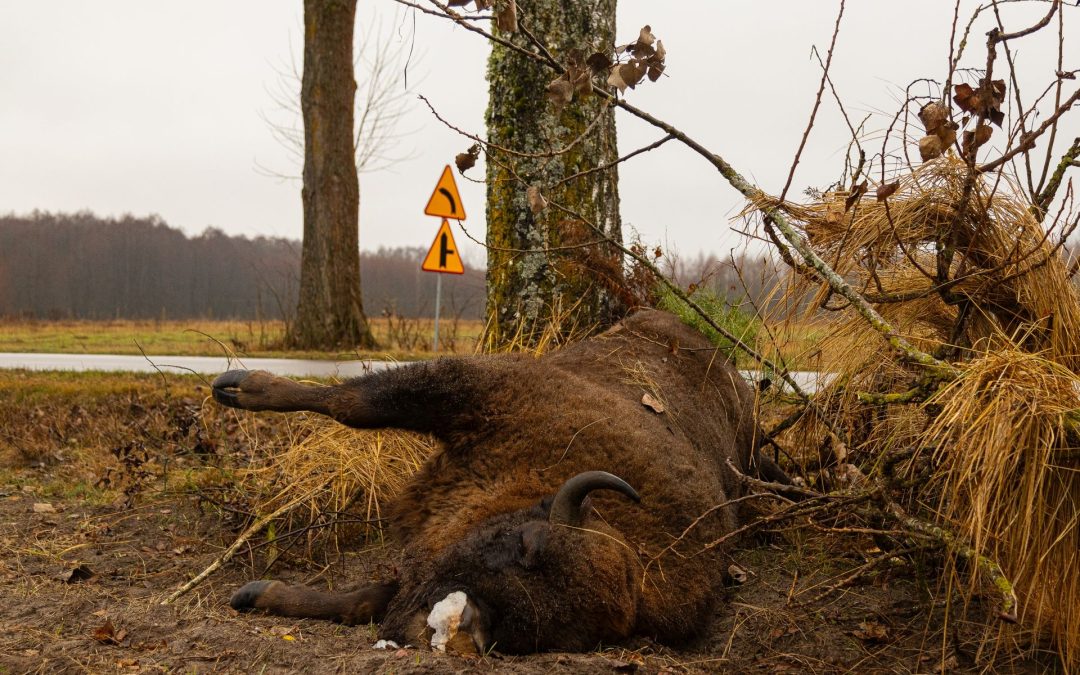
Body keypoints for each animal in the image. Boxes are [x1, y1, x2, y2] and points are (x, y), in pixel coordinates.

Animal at [212, 308, 786, 652]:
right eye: (529, 543)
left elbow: (369, 598)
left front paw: (259, 594)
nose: (470, 629)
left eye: (551, 632)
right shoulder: (477, 392)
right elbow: (353, 401)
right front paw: (241, 387)